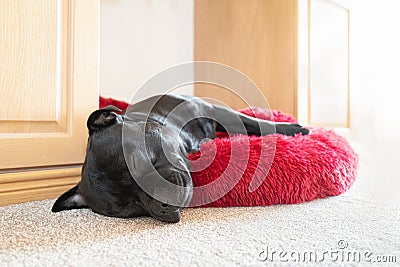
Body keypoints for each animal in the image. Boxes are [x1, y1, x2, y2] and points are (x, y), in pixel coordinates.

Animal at [52, 95, 310, 223]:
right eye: (126, 208)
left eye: (138, 162)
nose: (161, 204)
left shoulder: (212, 109)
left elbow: (254, 122)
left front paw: (293, 129)